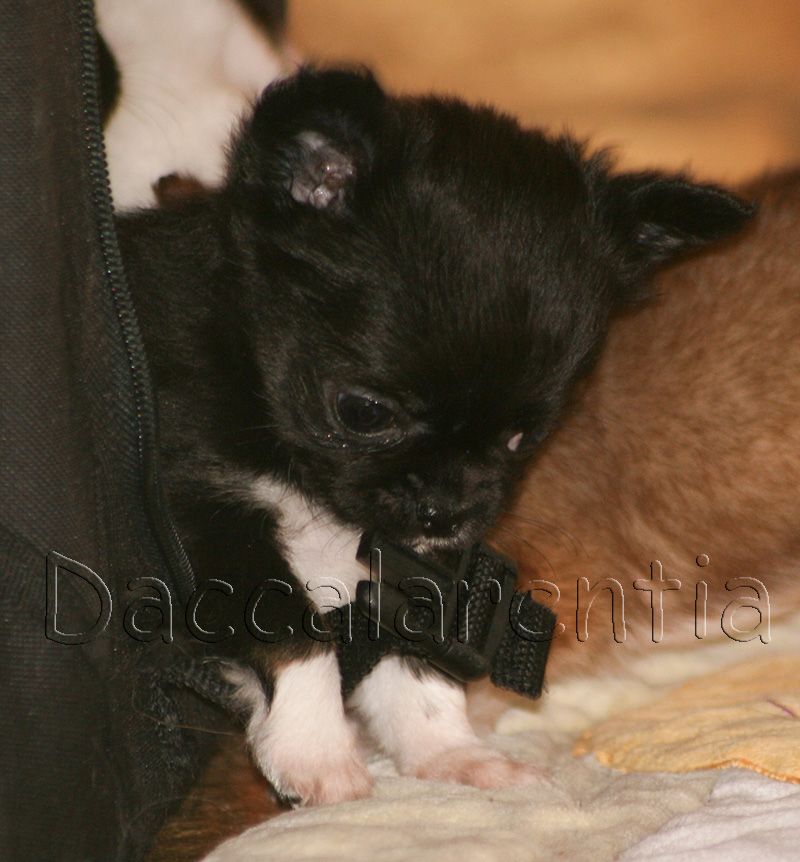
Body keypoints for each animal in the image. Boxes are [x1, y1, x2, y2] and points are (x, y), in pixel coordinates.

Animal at [117, 67, 752, 805]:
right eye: (363, 412)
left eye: (521, 436)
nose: (448, 511)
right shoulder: (204, 507)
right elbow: (293, 633)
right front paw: (317, 752)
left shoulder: (409, 562)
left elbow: (413, 655)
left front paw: (448, 753)